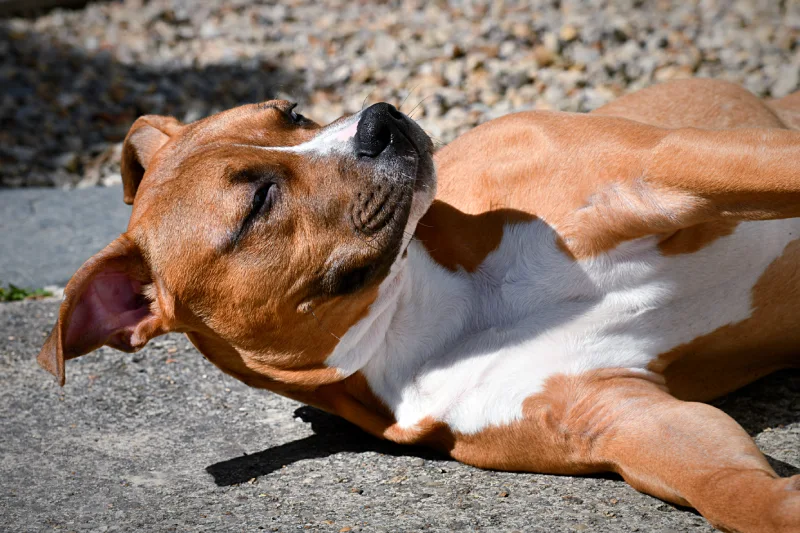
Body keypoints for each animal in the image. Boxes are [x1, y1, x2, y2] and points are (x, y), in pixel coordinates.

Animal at [36, 79, 800, 532]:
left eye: (292, 112)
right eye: (258, 201)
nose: (378, 121)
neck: (438, 304)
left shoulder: (668, 165)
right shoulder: (629, 420)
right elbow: (739, 491)